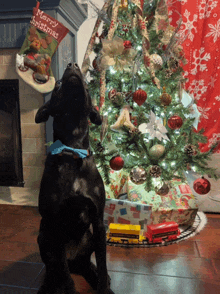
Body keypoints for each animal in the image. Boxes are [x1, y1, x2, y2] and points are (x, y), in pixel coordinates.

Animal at [35, 63, 114, 292]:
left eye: (86, 85)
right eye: (58, 84)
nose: (72, 65)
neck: (72, 150)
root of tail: (75, 259)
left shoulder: (98, 221)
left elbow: (103, 262)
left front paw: (104, 286)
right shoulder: (55, 224)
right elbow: (64, 274)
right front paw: (66, 288)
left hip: (90, 237)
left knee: (87, 264)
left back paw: (96, 276)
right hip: (43, 237)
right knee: (54, 269)